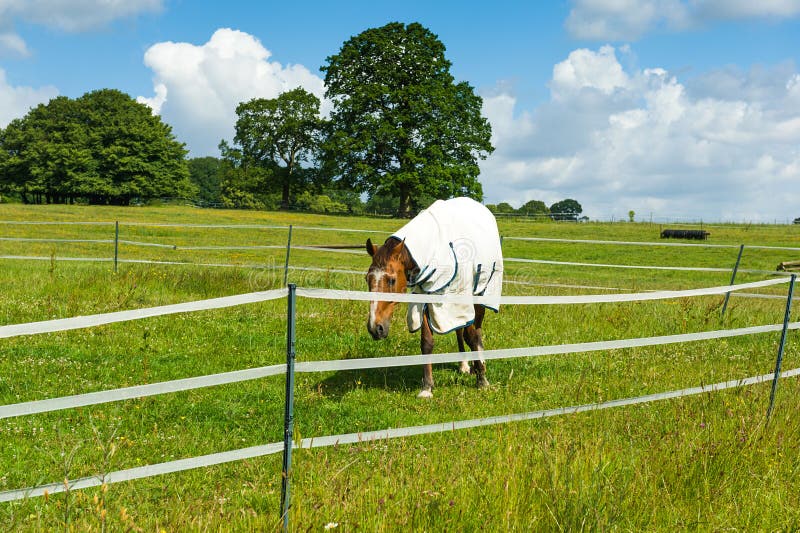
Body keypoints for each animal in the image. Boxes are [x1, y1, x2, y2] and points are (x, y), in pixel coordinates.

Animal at [364, 197, 504, 398]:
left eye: (391, 280)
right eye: (367, 279)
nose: (376, 328)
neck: (433, 248)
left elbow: (472, 336)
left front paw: (482, 380)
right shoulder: (424, 299)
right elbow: (427, 342)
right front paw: (427, 387)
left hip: (480, 295)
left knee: (475, 331)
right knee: (460, 331)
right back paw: (464, 365)